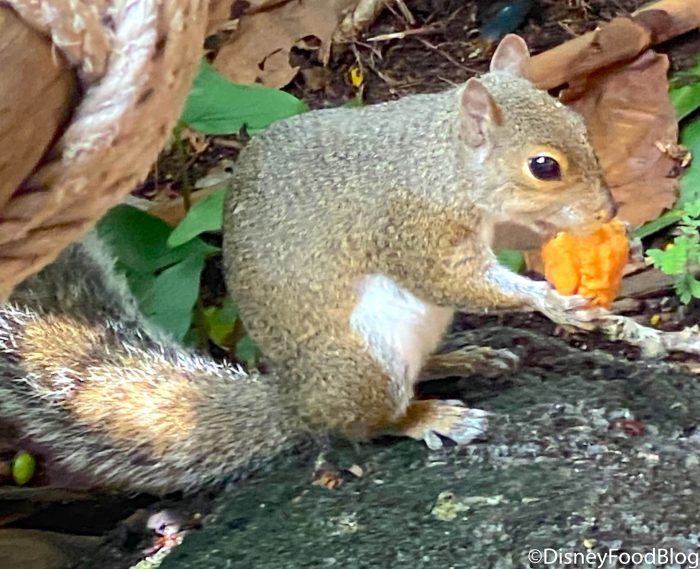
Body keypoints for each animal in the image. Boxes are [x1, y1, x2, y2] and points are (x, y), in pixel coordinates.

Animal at [0, 34, 612, 492]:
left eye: (582, 125)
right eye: (543, 166)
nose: (608, 209)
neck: (444, 162)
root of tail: (293, 403)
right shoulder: (412, 227)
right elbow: (451, 279)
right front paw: (551, 300)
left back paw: (462, 358)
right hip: (362, 366)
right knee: (366, 425)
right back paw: (431, 416)